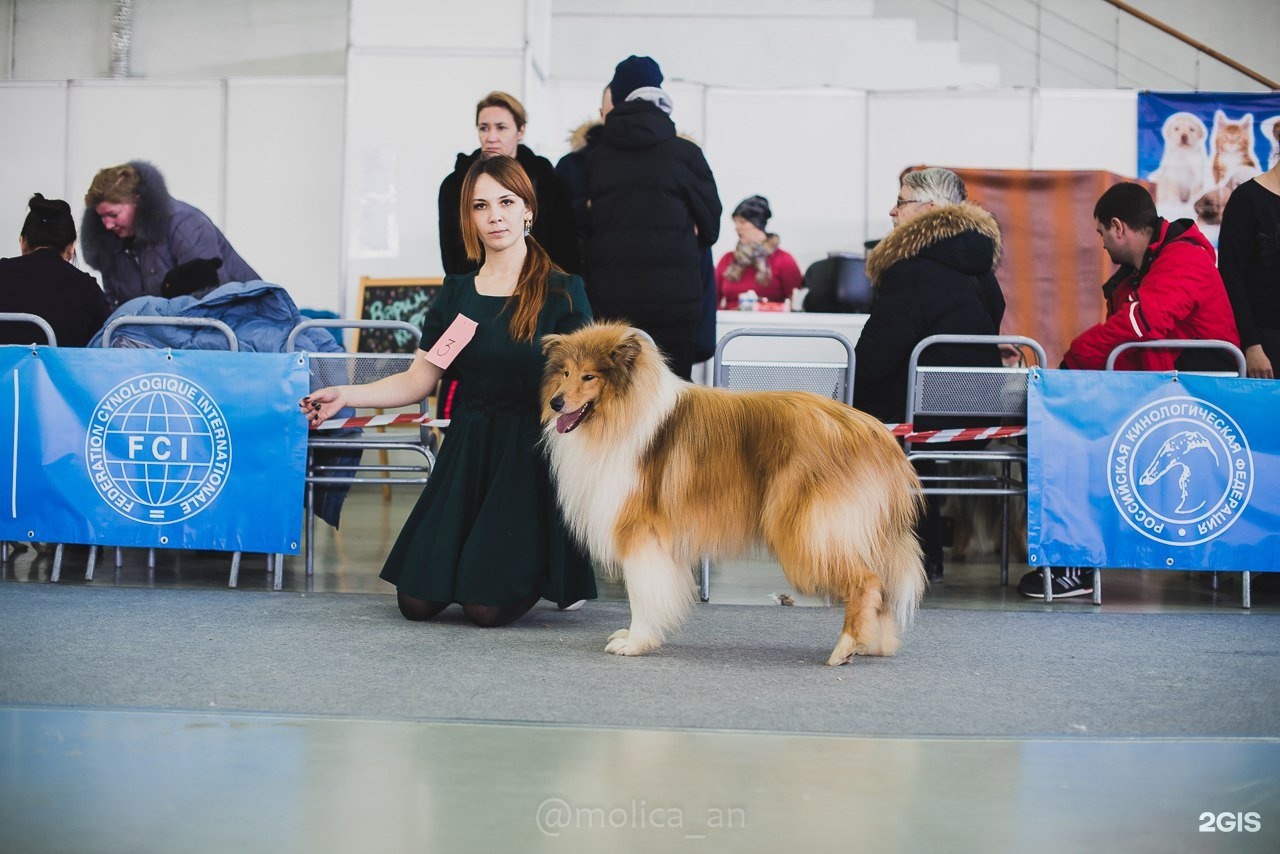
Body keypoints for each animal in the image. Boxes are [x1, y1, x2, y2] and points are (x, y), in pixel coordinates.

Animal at [537, 322, 921, 665]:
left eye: (589, 376)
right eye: (566, 372)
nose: (556, 403)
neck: (623, 415)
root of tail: (877, 433)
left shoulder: (640, 533)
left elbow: (643, 595)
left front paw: (635, 642)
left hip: (810, 531)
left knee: (867, 582)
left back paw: (846, 647)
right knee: (882, 586)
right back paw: (873, 644)